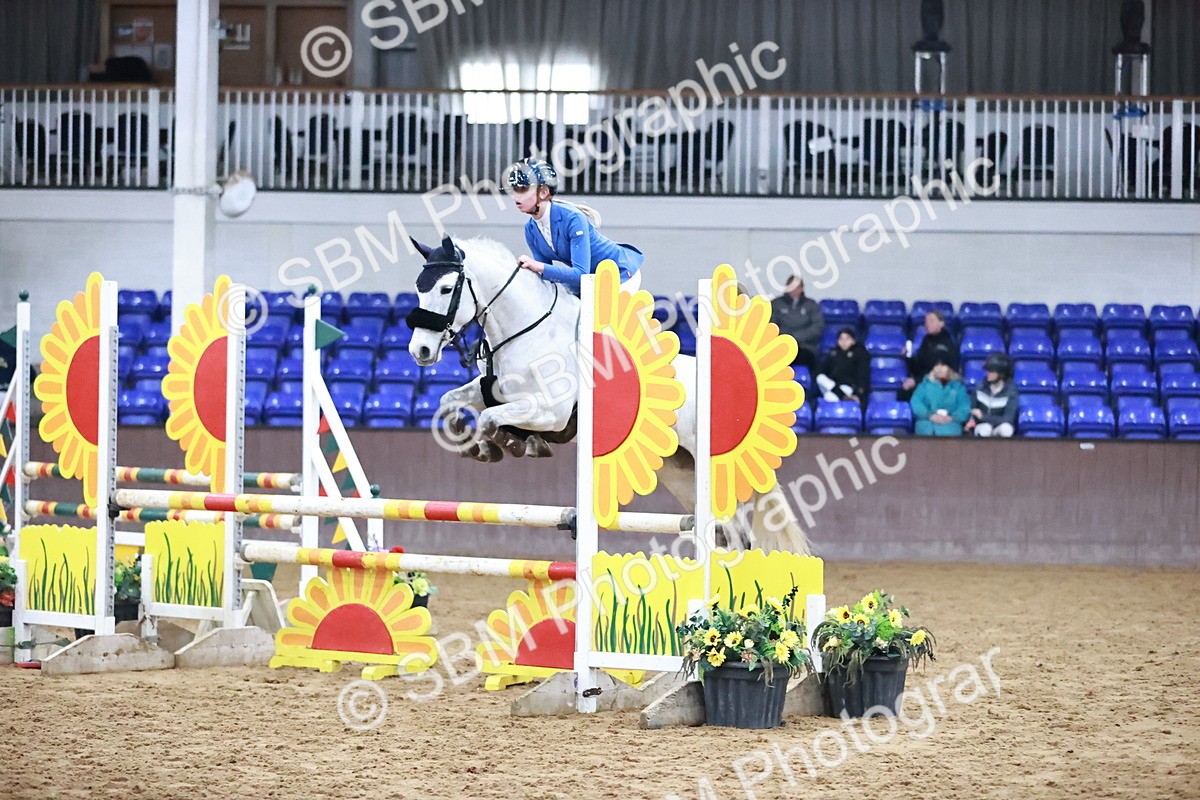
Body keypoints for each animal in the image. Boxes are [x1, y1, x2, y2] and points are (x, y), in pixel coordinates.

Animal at [405, 234, 811, 555]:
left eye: (446, 289)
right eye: (419, 287)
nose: (419, 351)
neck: (529, 331)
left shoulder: (550, 413)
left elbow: (492, 418)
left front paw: (512, 443)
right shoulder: (496, 391)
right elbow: (450, 403)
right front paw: (476, 445)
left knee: (737, 535)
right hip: (681, 473)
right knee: (726, 535)